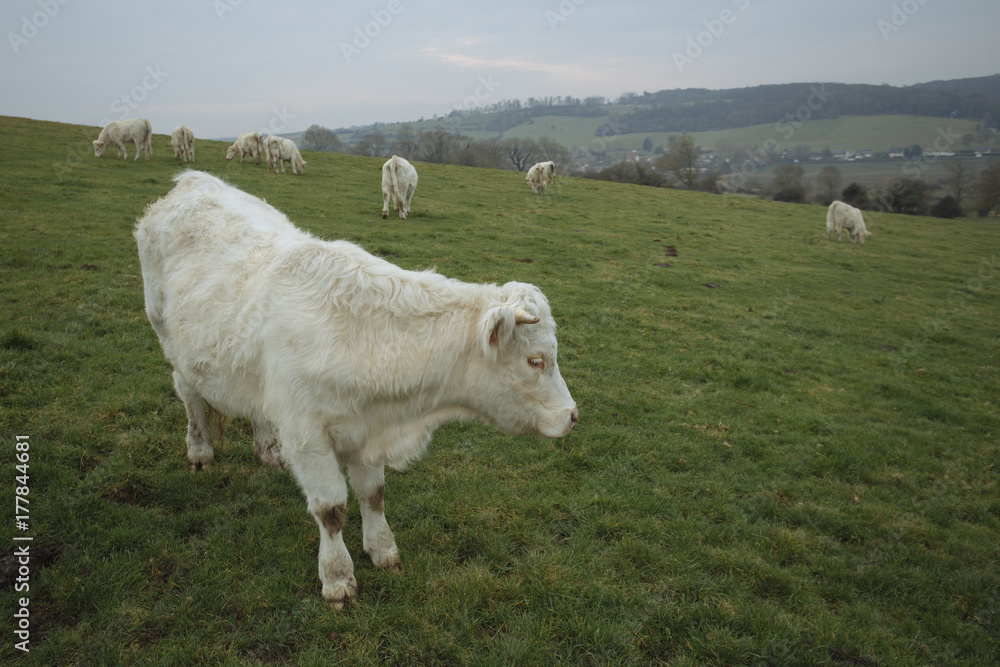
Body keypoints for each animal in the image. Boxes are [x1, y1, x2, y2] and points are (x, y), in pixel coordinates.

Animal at [134, 171, 578, 608]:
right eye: (535, 360)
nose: (572, 416)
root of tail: (193, 180)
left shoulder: (368, 427)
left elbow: (373, 494)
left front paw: (383, 549)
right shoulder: (308, 436)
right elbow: (331, 509)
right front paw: (336, 577)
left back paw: (267, 450)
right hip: (170, 342)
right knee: (189, 396)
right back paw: (200, 450)